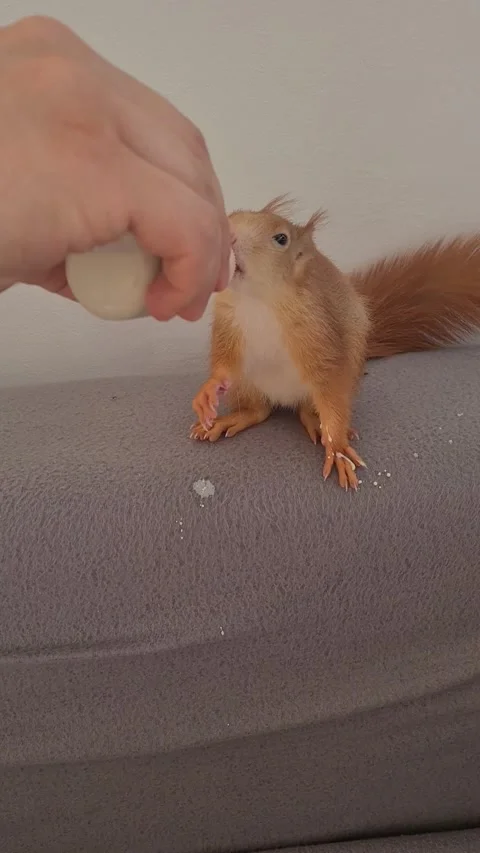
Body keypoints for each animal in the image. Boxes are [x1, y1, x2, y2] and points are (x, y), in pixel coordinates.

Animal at [190, 196, 480, 491]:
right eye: (232, 215)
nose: (227, 234)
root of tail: (284, 398)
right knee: (259, 410)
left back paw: (317, 423)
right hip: (247, 385)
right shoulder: (227, 324)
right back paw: (232, 418)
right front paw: (209, 390)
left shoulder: (319, 332)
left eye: (281, 239)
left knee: (308, 409)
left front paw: (337, 447)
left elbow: (331, 386)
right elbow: (224, 362)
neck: (258, 300)